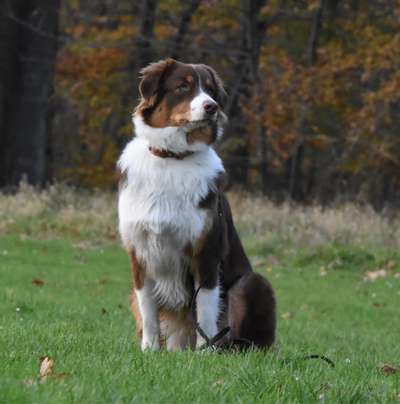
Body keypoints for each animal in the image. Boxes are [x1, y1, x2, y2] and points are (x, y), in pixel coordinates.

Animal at [117, 57, 276, 350]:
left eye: (211, 90)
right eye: (183, 86)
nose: (211, 106)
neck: (172, 158)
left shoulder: (206, 252)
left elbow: (205, 310)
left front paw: (204, 353)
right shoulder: (140, 254)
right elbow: (149, 312)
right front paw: (148, 351)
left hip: (252, 283)